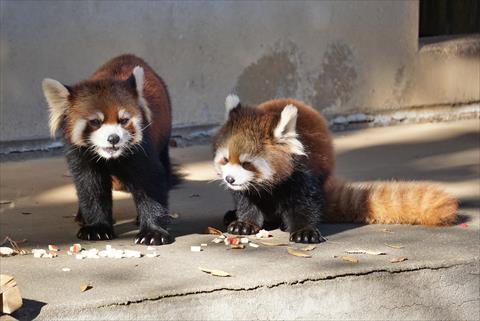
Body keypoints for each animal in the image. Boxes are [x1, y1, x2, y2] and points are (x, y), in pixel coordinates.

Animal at [42, 54, 174, 245]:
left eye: (123, 120)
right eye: (96, 122)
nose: (113, 138)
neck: (110, 157)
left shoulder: (142, 151)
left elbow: (150, 183)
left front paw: (153, 231)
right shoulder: (80, 155)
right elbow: (90, 187)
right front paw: (97, 227)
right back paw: (82, 216)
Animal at [214, 94, 458, 242]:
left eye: (247, 163)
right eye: (225, 160)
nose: (229, 179)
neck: (271, 186)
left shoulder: (303, 174)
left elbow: (304, 204)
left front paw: (304, 231)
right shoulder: (249, 189)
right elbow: (247, 201)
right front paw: (243, 223)